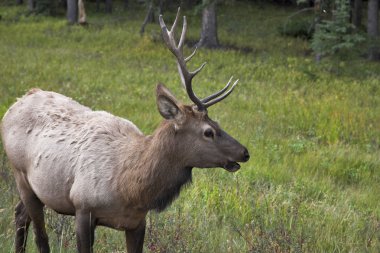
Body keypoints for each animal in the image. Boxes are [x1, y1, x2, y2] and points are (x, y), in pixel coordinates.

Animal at [0, 7, 249, 253]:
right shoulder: (82, 207)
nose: (245, 152)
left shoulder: (137, 222)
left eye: (218, 124)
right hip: (21, 175)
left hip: (38, 189)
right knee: (40, 237)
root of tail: (16, 103)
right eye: (208, 131)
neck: (130, 189)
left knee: (20, 214)